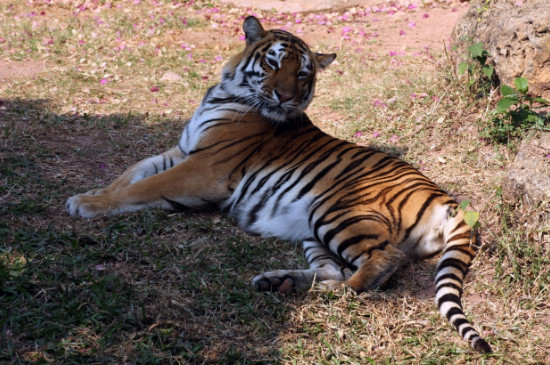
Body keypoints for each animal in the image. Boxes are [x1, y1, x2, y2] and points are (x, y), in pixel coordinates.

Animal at [67, 15, 494, 352]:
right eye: (272, 63)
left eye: (303, 74)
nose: (285, 97)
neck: (223, 94)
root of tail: (446, 198)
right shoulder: (181, 150)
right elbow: (131, 173)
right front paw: (91, 194)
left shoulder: (204, 167)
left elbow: (145, 187)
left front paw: (87, 206)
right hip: (311, 229)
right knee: (336, 268)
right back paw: (280, 283)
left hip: (335, 210)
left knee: (381, 263)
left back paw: (326, 295)